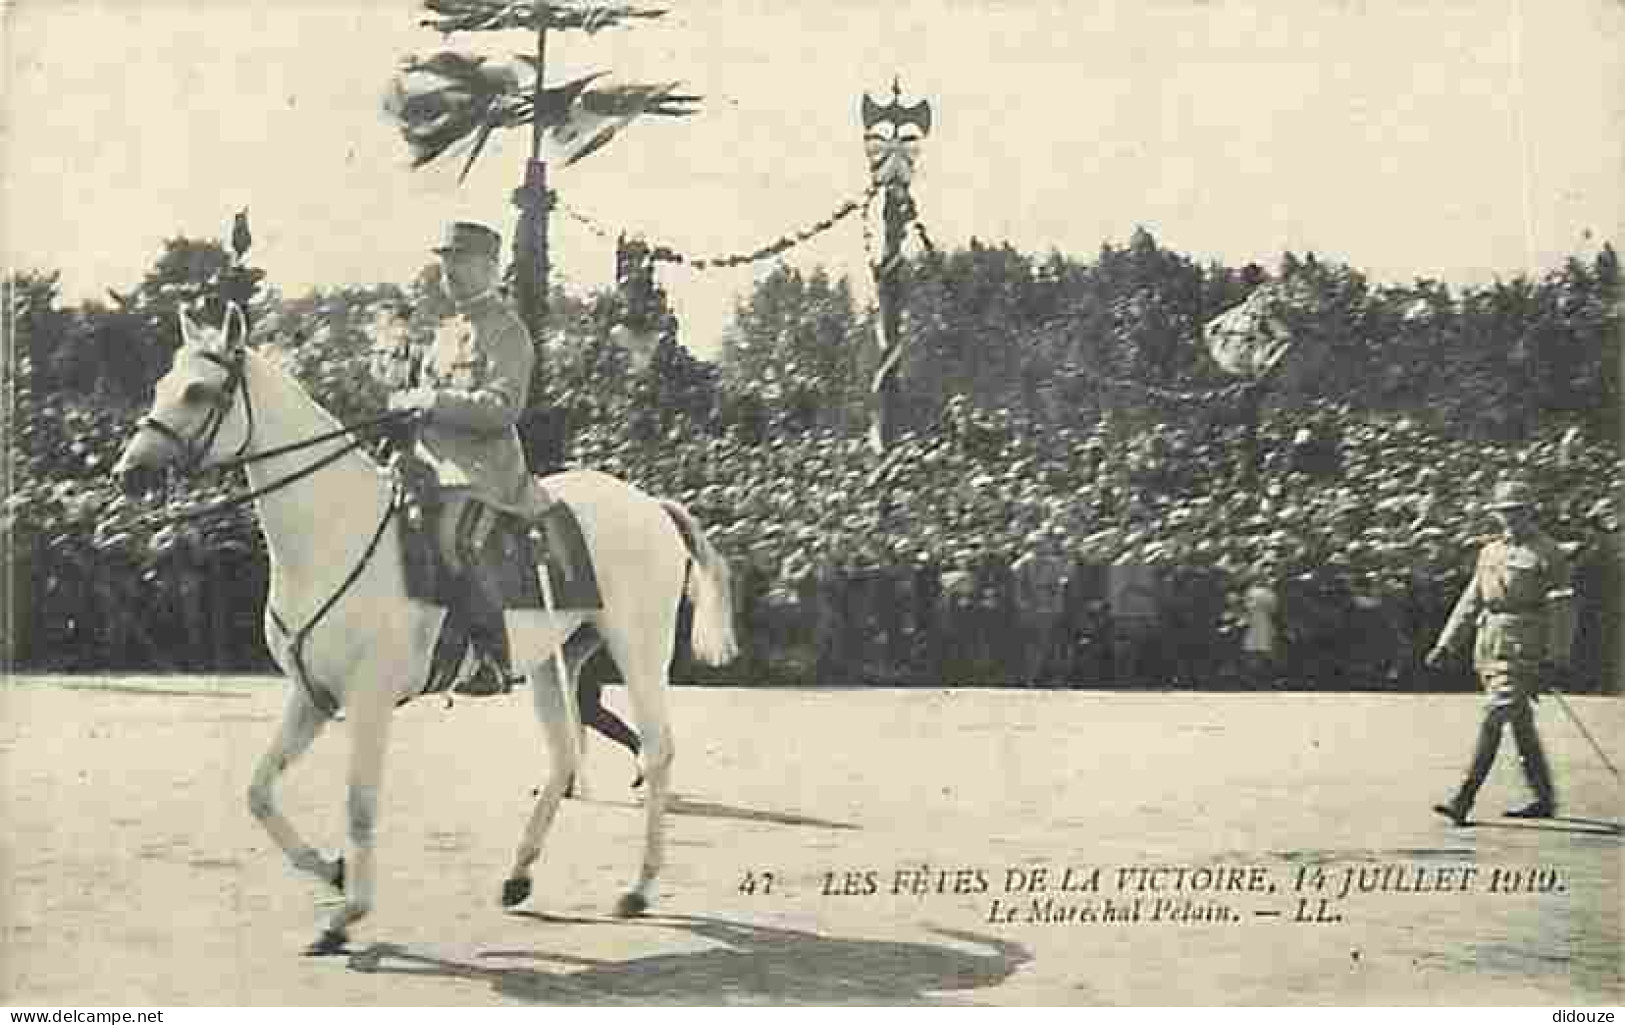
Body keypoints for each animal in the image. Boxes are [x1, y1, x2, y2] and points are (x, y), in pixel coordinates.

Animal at [116, 305, 744, 955]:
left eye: (198, 390)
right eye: (162, 385)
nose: (127, 473)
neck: (333, 529)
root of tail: (652, 506)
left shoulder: (368, 699)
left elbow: (360, 804)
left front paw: (347, 914)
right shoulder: (311, 696)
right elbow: (258, 792)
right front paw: (333, 871)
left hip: (638, 649)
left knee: (657, 750)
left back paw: (638, 887)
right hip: (554, 663)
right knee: (565, 757)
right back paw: (518, 876)